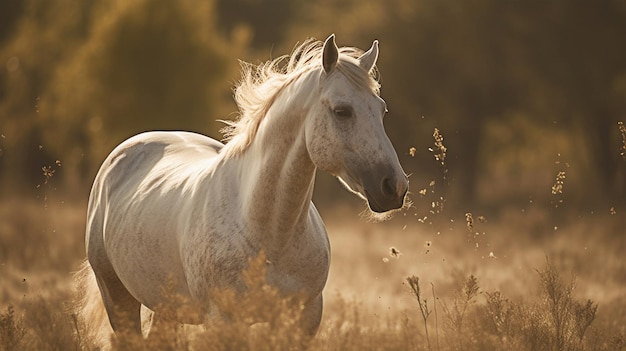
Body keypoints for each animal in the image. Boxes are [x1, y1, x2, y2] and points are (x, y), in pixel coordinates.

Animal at [75, 34, 408, 342]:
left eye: (382, 110)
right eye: (342, 110)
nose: (394, 187)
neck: (269, 233)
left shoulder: (303, 320)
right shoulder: (224, 323)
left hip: (166, 306)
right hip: (117, 297)